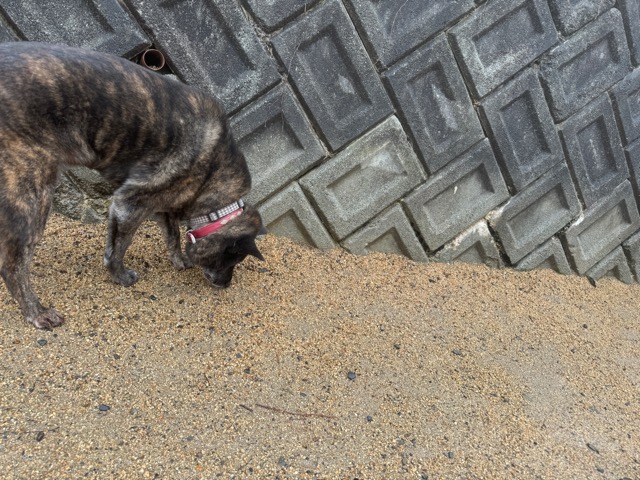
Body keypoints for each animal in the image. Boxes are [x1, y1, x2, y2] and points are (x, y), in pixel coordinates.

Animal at [0, 42, 265, 329]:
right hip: (33, 199)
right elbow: (118, 247)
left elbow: (172, 236)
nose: (225, 285)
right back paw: (37, 312)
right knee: (12, 266)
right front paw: (120, 276)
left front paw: (180, 260)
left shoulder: (161, 206)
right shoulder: (128, 206)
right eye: (233, 257)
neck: (214, 174)